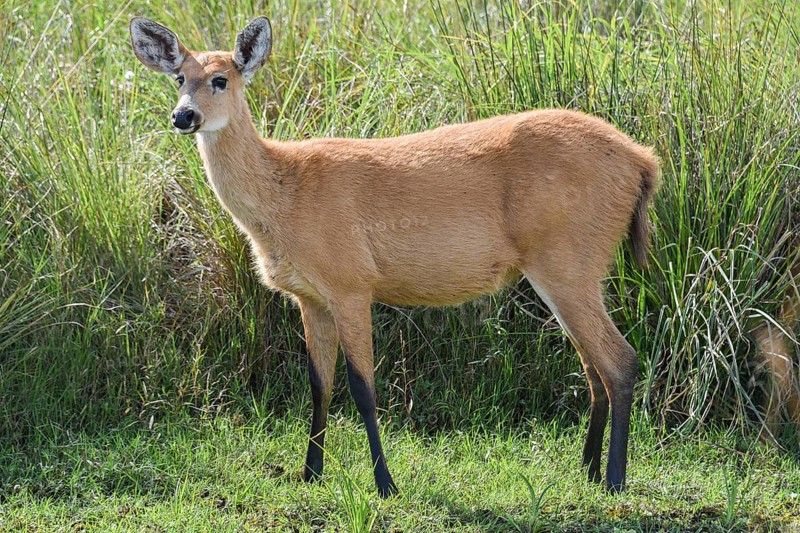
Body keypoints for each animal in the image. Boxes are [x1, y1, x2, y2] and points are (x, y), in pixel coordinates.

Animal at [130, 15, 659, 497]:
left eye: (221, 78)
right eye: (179, 78)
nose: (183, 116)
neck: (285, 197)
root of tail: (643, 161)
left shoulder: (351, 282)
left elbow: (363, 387)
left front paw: (385, 484)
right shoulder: (310, 297)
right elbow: (319, 385)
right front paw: (310, 474)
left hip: (569, 258)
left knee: (620, 359)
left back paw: (614, 480)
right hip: (565, 268)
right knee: (593, 366)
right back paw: (587, 471)